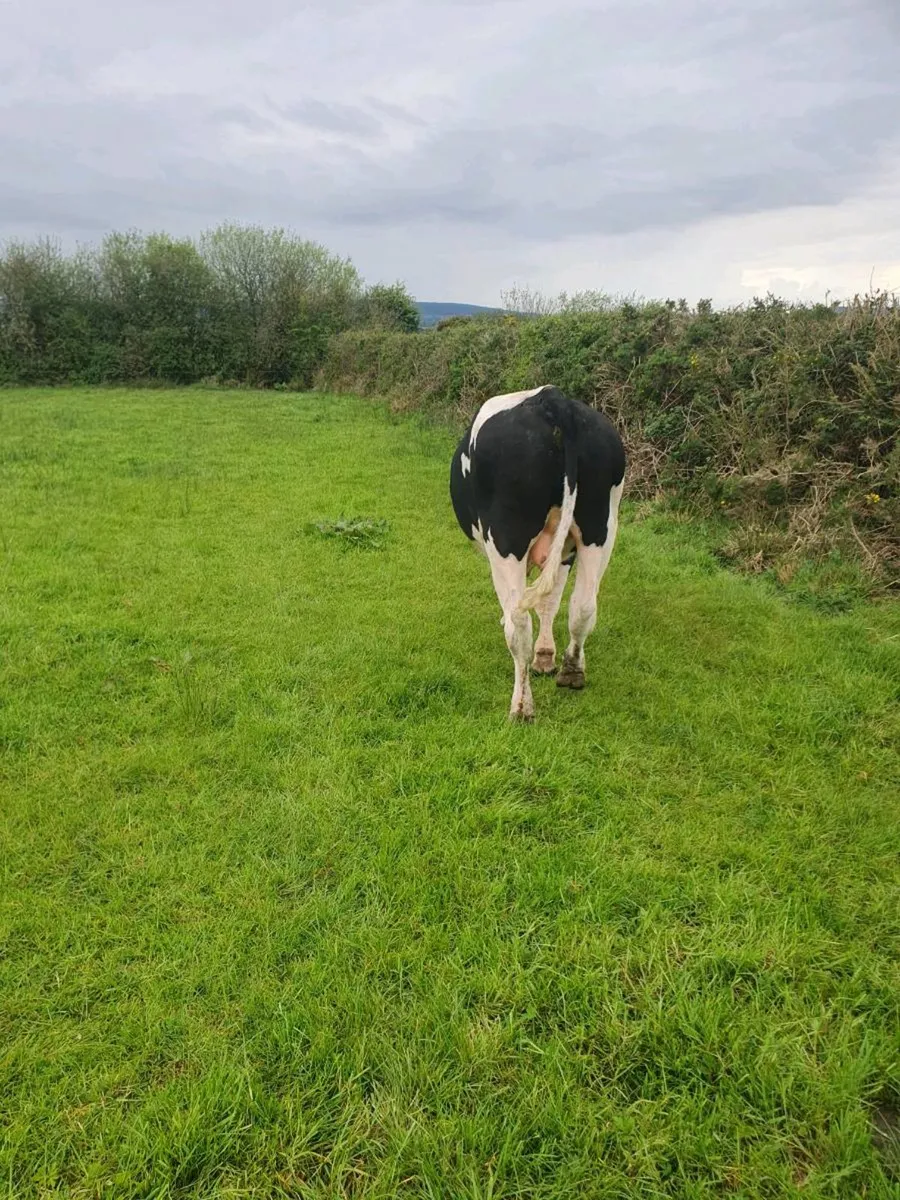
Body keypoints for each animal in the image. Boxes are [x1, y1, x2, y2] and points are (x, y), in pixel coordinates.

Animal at [449, 384, 625, 721]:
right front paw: (545, 656)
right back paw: (572, 671)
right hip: (601, 528)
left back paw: (521, 707)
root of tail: (552, 398)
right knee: (583, 606)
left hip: (507, 536)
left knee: (519, 622)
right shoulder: (565, 551)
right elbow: (549, 603)